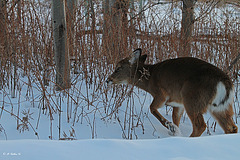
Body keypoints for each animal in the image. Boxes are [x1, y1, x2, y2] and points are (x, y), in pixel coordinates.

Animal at [107, 48, 238, 137]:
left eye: (118, 68)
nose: (108, 79)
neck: (149, 80)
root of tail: (224, 82)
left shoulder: (161, 94)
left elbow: (152, 108)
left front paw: (172, 128)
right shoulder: (178, 104)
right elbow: (176, 118)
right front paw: (175, 132)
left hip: (192, 99)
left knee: (200, 125)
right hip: (221, 107)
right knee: (232, 127)